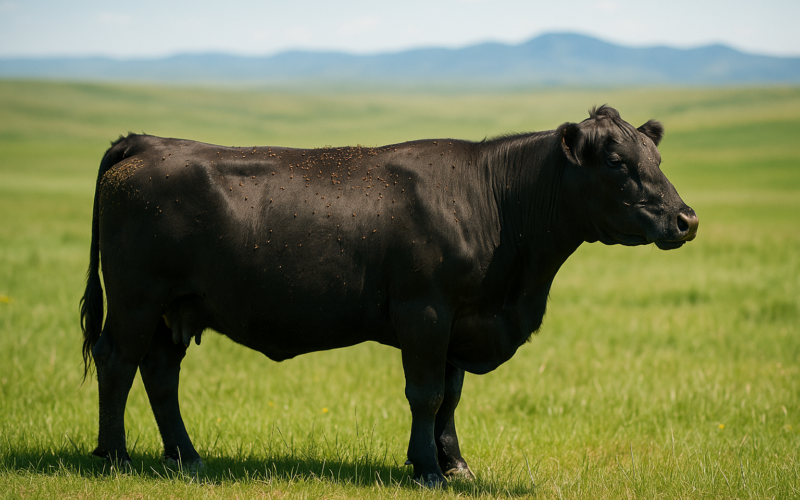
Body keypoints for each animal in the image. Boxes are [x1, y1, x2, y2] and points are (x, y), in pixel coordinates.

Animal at [80, 105, 698, 487]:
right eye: (616, 162)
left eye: (657, 160)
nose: (686, 219)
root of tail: (146, 142)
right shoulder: (424, 311)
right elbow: (425, 394)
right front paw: (426, 469)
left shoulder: (458, 320)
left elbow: (450, 397)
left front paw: (454, 464)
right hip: (136, 300)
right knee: (117, 363)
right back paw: (115, 457)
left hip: (174, 308)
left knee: (160, 373)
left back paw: (186, 457)